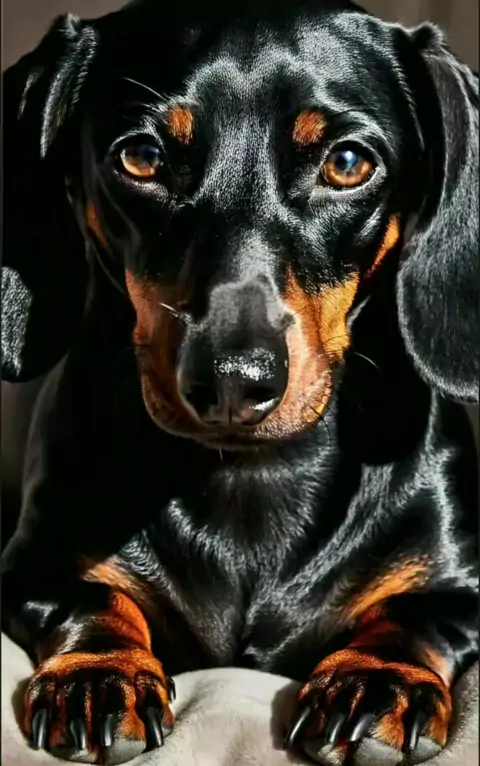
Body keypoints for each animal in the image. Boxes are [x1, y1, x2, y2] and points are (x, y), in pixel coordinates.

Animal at [1, 1, 478, 764]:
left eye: (348, 163)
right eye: (141, 157)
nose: (231, 381)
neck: (252, 475)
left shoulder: (459, 590)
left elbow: (415, 616)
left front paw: (379, 678)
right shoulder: (32, 566)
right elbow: (94, 598)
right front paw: (100, 672)